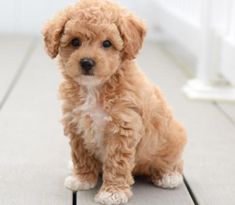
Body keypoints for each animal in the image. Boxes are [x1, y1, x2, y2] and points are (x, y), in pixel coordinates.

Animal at [42, 0, 187, 203]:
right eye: (75, 42)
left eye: (107, 43)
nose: (87, 62)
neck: (95, 89)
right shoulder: (76, 125)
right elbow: (81, 155)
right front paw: (82, 179)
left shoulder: (123, 128)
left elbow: (116, 163)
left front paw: (112, 192)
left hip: (173, 137)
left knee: (173, 161)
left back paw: (169, 176)